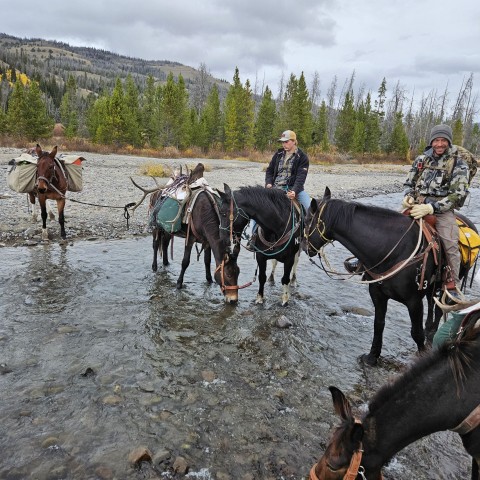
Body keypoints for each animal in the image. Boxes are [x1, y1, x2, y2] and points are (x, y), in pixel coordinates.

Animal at [302, 188, 474, 368]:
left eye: (307, 220)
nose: (304, 246)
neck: (392, 249)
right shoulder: (378, 295)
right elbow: (378, 325)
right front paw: (372, 357)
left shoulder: (413, 301)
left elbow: (416, 332)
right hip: (432, 286)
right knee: (432, 304)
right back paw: (430, 331)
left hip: (447, 284)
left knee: (440, 308)